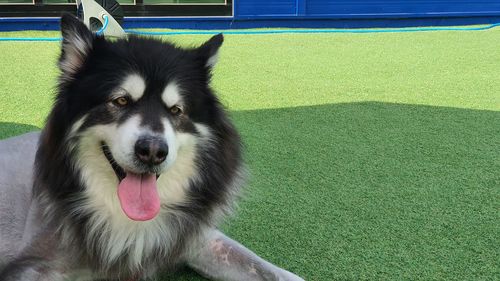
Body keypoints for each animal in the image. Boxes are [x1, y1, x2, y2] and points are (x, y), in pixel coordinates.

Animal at [0, 14, 304, 280]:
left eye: (176, 110)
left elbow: (268, 270)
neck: (126, 218)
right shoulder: (34, 263)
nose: (153, 152)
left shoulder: (196, 236)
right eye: (121, 101)